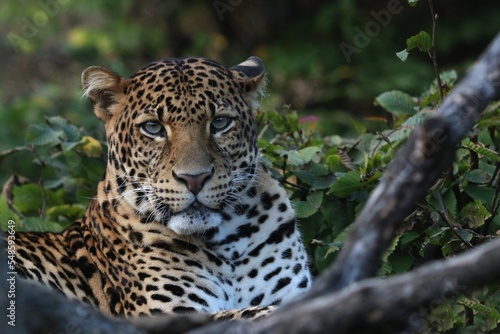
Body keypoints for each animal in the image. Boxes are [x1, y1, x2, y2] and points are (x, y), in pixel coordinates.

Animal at [6, 56, 312, 320]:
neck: (227, 246)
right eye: (153, 128)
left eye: (220, 122)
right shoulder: (169, 315)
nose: (194, 179)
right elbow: (250, 314)